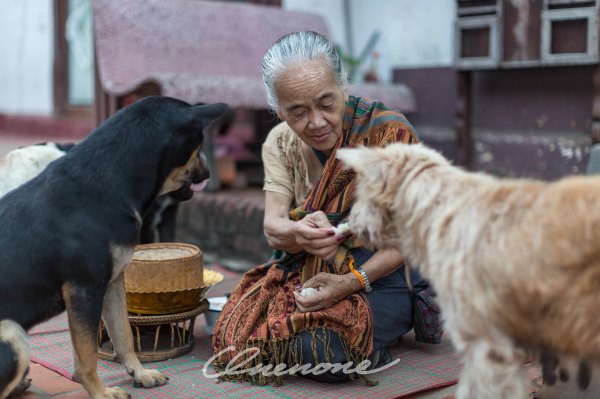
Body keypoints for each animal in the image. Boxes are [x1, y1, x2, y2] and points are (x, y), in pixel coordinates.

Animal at [0, 97, 227, 399]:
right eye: (199, 145)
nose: (208, 173)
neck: (110, 180)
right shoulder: (84, 290)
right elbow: (86, 357)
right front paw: (101, 392)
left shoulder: (112, 283)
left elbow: (124, 334)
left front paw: (140, 373)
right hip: (12, 331)